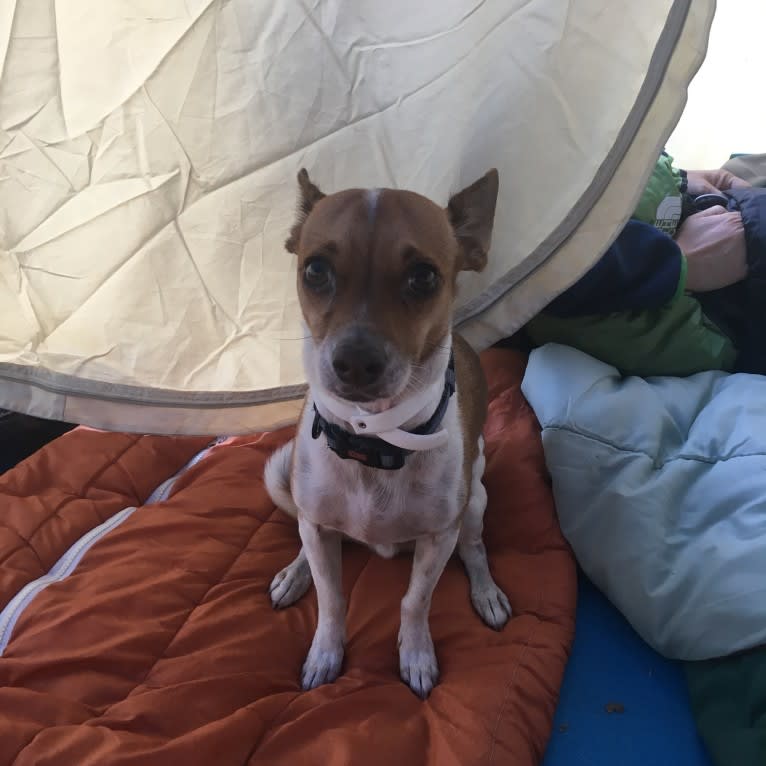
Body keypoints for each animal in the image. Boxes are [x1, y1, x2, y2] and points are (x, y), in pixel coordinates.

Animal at [264, 170, 510, 704]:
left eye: (424, 277)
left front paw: (416, 654)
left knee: (476, 548)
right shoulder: (319, 528)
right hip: (311, 517)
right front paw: (325, 653)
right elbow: (332, 599)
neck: (371, 440)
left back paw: (485, 591)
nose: (356, 361)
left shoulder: (439, 538)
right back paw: (295, 572)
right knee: (308, 540)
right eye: (315, 270)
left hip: (476, 504)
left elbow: (415, 601)